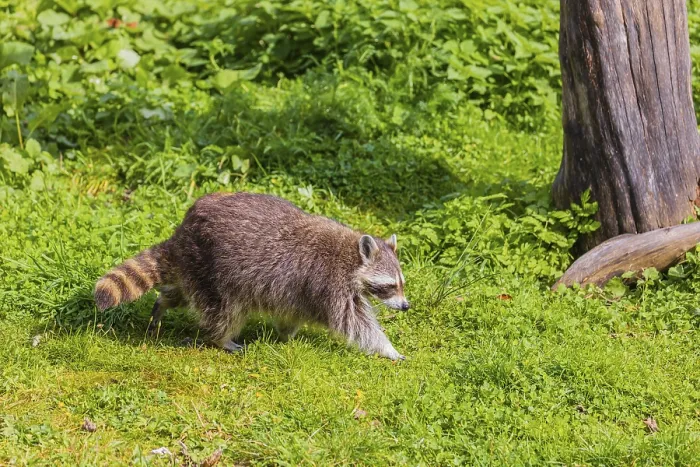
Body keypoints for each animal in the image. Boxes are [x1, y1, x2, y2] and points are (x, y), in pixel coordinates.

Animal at [94, 192, 409, 360]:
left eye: (402, 284)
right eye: (390, 286)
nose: (406, 306)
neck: (352, 255)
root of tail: (182, 231)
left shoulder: (301, 290)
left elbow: (292, 313)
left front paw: (286, 334)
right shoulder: (330, 282)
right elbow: (354, 322)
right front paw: (387, 349)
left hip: (194, 269)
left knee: (181, 294)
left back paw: (163, 304)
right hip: (214, 269)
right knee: (225, 311)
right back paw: (222, 339)